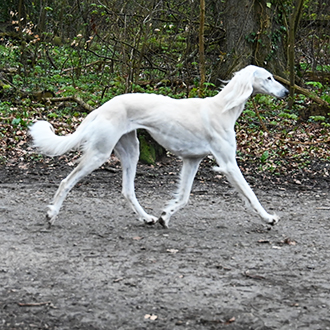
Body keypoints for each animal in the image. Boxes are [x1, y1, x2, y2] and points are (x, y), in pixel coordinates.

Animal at [31, 65, 288, 228]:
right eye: (268, 78)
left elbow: (184, 197)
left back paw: (147, 218)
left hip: (131, 151)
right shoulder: (228, 164)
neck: (222, 109)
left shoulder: (192, 160)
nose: (286, 92)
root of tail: (102, 107)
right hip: (99, 153)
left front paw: (165, 215)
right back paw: (51, 214)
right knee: (66, 181)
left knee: (127, 191)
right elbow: (251, 194)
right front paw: (268, 218)